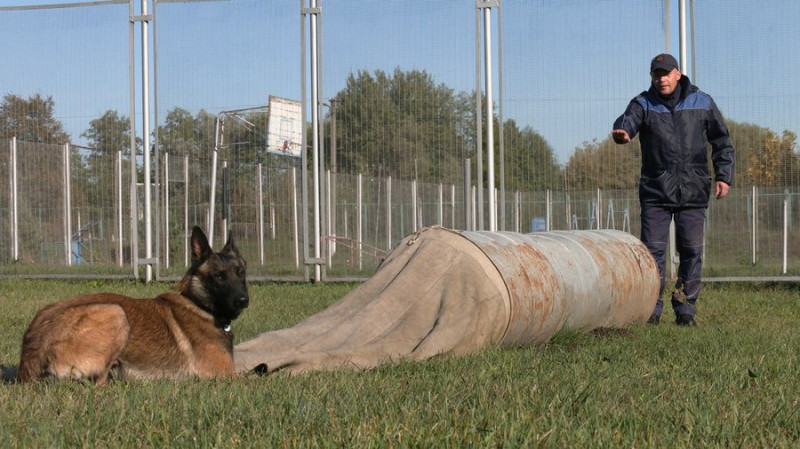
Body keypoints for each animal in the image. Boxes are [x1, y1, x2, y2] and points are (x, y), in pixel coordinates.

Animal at [14, 226, 247, 384]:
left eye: (241, 272)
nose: (244, 300)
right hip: (115, 311)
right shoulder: (225, 374)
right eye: (219, 276)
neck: (197, 302)